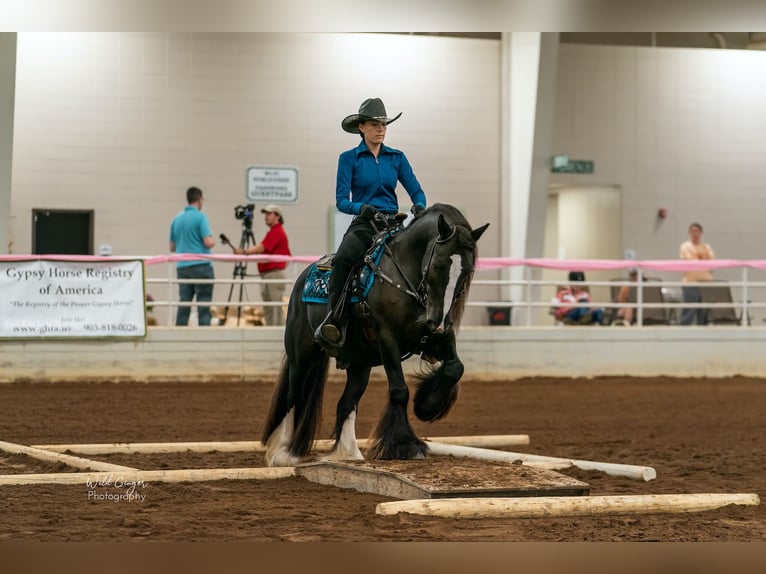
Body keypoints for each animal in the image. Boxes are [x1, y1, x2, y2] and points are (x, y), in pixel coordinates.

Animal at [264, 205, 492, 466]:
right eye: (437, 266)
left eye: (467, 273)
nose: (441, 321)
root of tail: (302, 280)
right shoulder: (388, 339)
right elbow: (399, 390)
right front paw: (405, 445)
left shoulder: (438, 337)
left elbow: (456, 368)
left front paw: (426, 406)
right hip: (301, 357)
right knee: (293, 396)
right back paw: (281, 453)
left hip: (358, 364)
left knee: (346, 403)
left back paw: (348, 452)